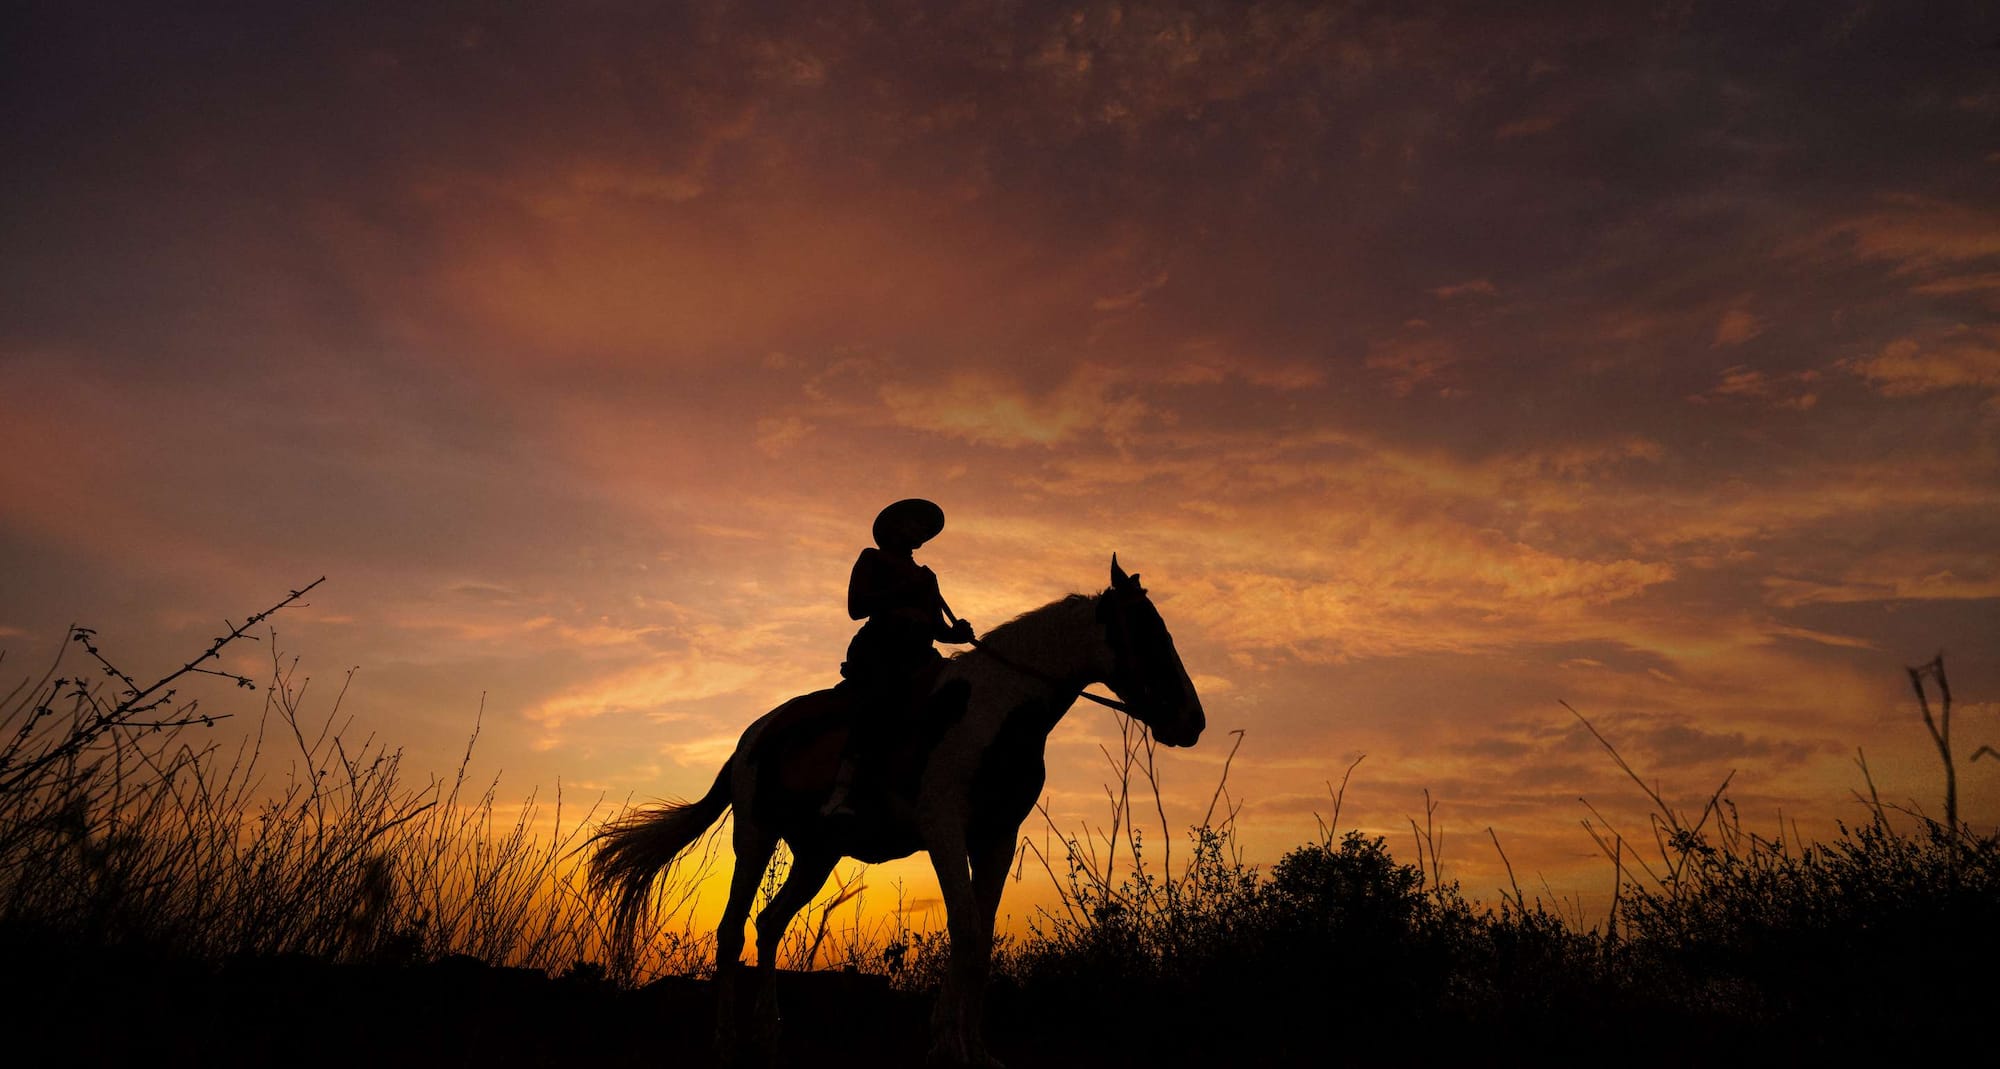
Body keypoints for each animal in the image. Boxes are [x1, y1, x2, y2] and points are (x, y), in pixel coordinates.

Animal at [589, 557, 1205, 1067]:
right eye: (1149, 633)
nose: (1192, 722)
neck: (994, 710)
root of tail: (753, 737)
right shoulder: (945, 829)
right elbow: (966, 928)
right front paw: (951, 1046)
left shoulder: (997, 837)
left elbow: (980, 937)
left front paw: (974, 1049)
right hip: (756, 837)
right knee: (731, 931)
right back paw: (725, 1041)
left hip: (817, 854)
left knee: (769, 924)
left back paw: (768, 1035)